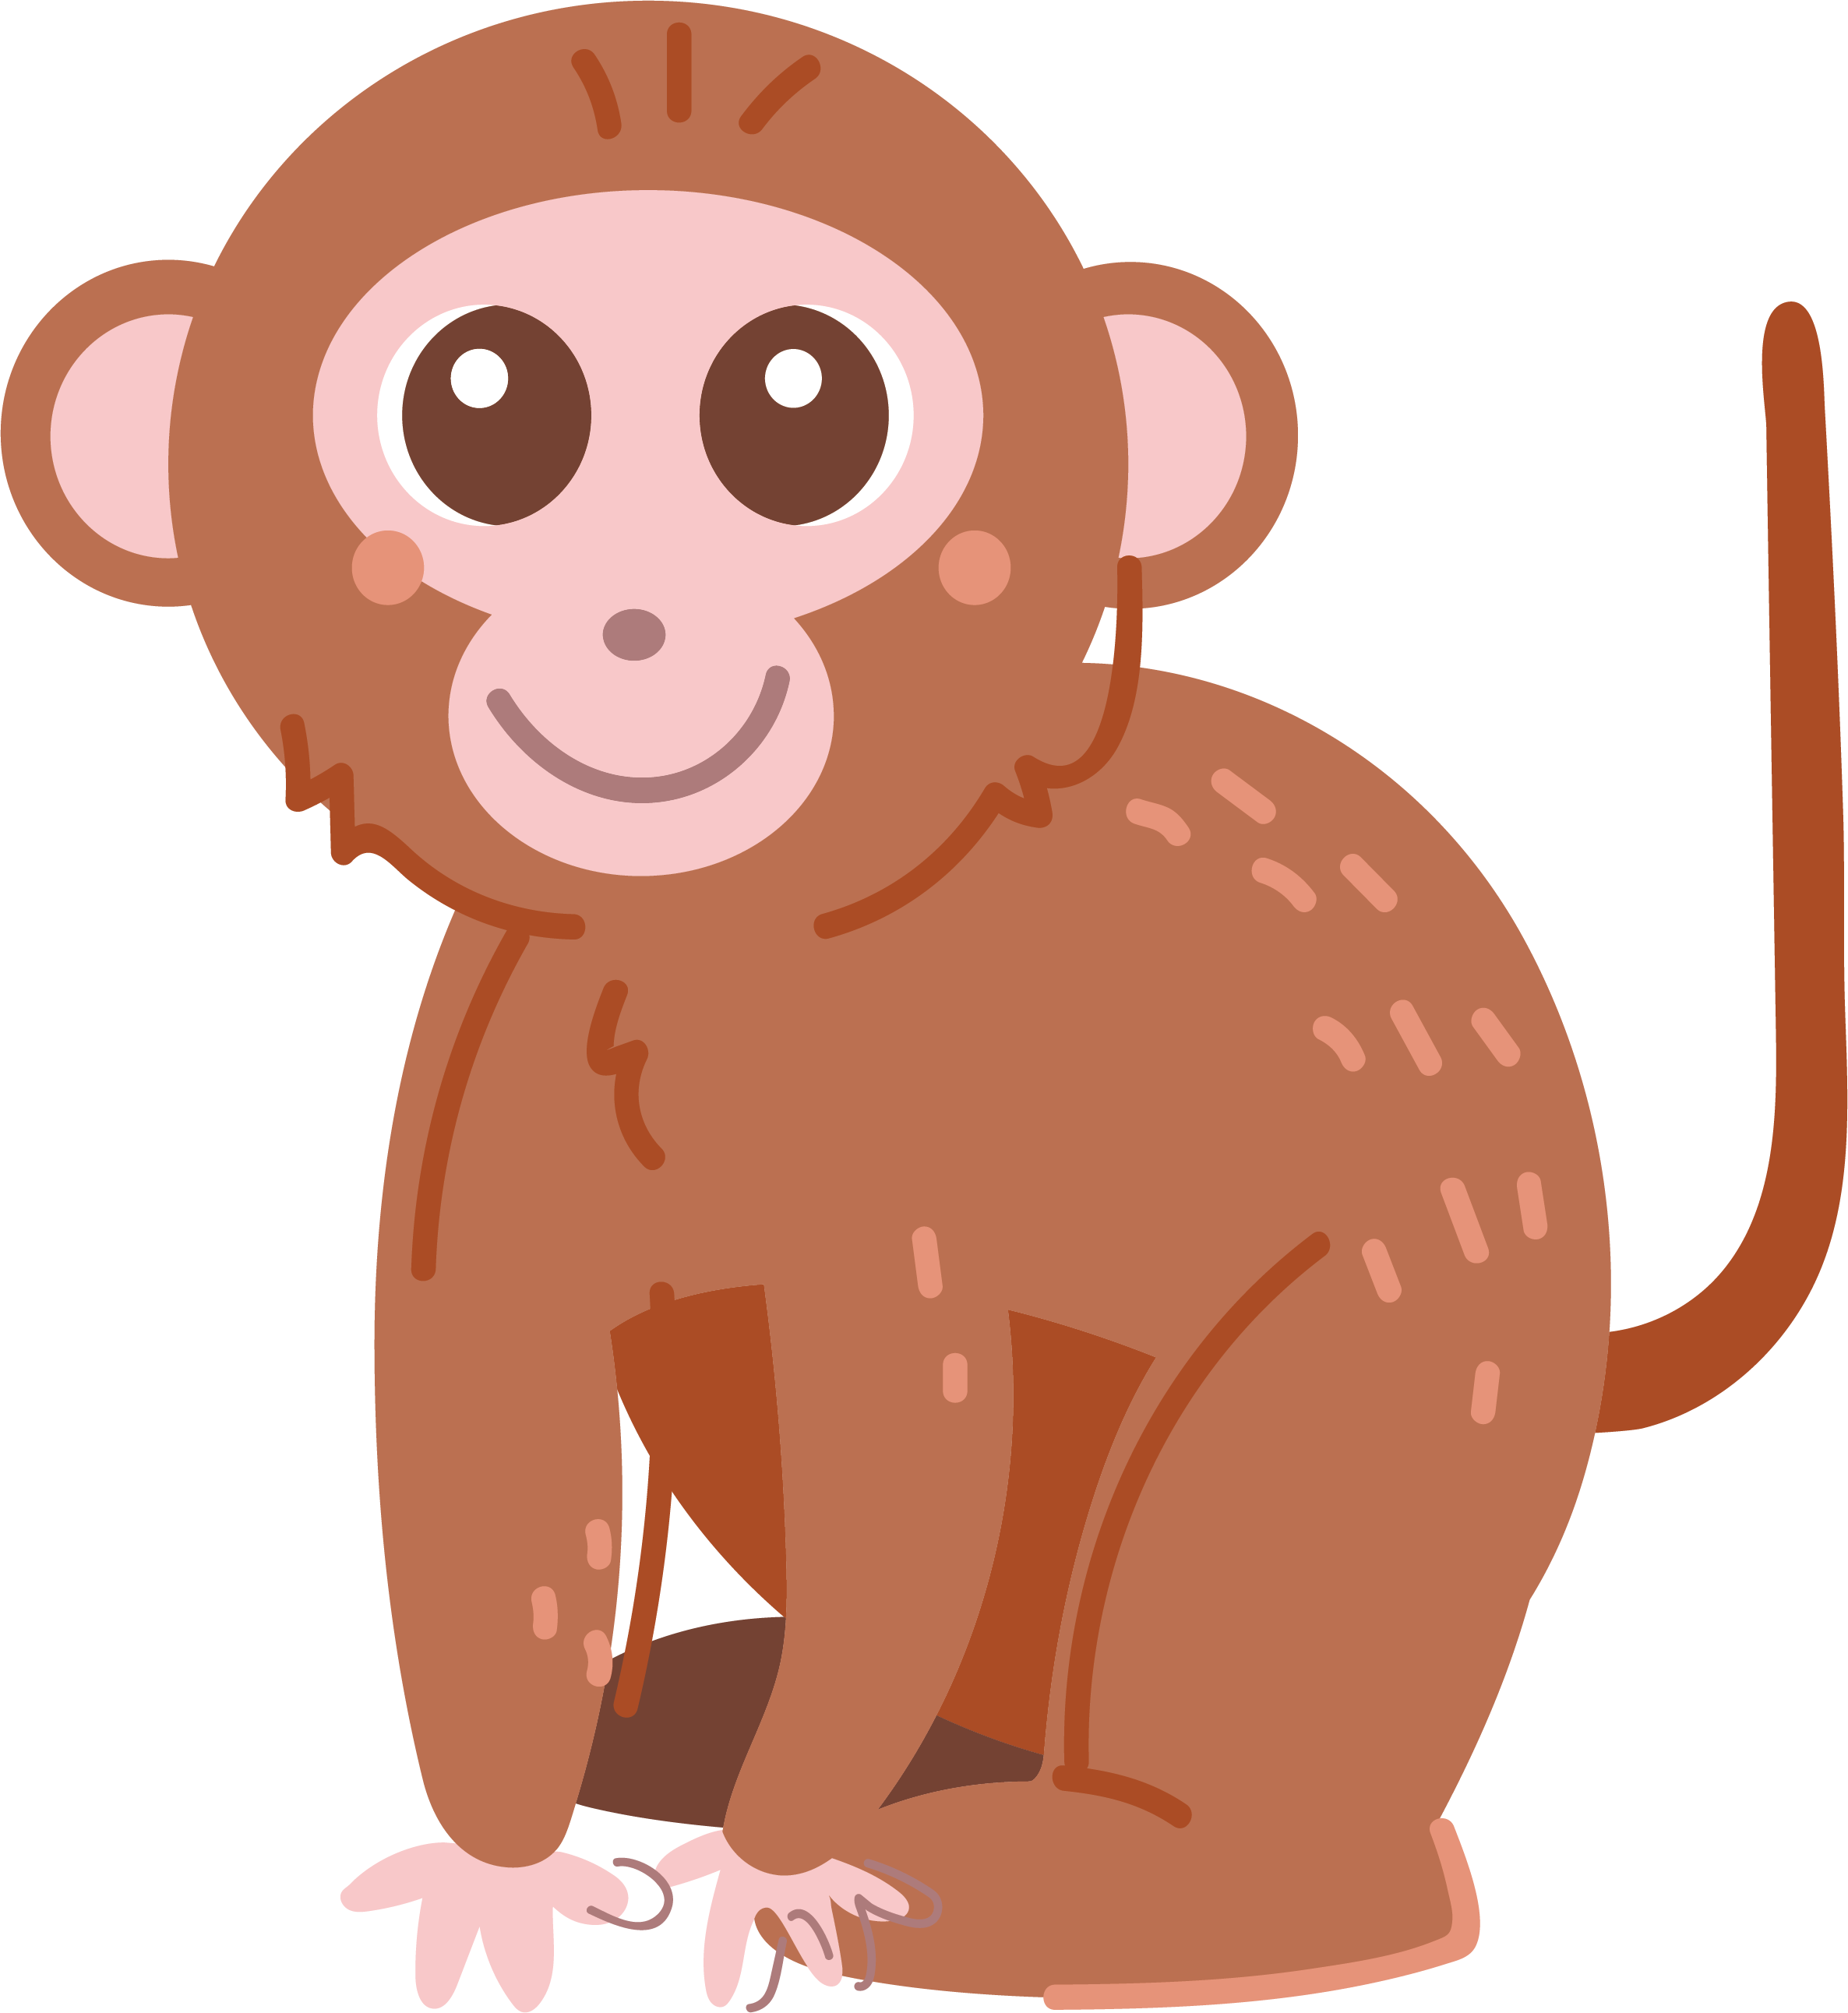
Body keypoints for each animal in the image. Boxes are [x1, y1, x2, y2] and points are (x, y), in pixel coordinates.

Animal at [3, 5, 1842, 2012]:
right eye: (476, 406)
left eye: (802, 406)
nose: (635, 626)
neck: (696, 943)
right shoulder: (492, 1064)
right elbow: (489, 1423)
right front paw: (503, 1872)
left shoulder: (886, 1139)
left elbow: (906, 1464)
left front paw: (775, 1861)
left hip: (1423, 1334)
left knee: (1271, 1567)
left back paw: (1099, 1876)